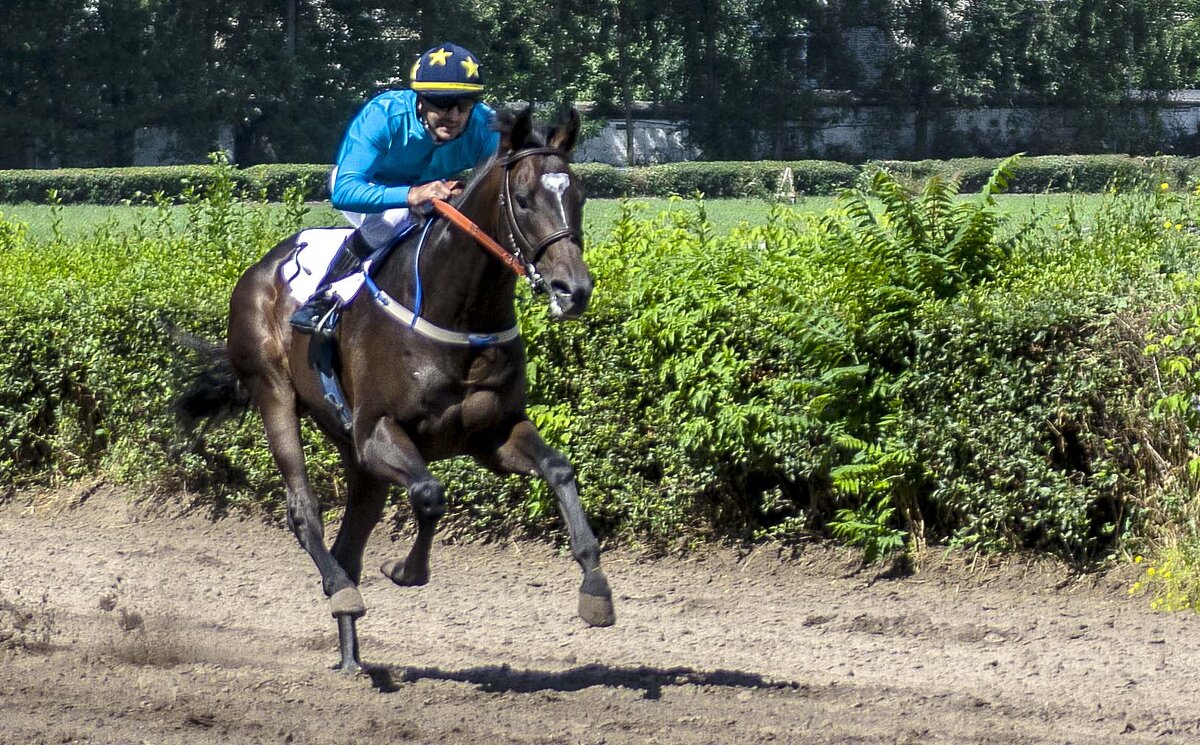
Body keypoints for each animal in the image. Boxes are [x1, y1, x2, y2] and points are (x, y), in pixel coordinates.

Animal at [175, 107, 619, 671]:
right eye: (522, 198)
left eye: (578, 194)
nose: (573, 289)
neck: (458, 313)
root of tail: (261, 269)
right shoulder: (377, 432)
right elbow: (430, 493)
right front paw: (406, 571)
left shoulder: (490, 434)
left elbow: (559, 470)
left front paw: (596, 591)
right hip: (274, 392)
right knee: (305, 511)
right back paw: (340, 590)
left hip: (356, 456)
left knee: (350, 542)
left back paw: (351, 657)